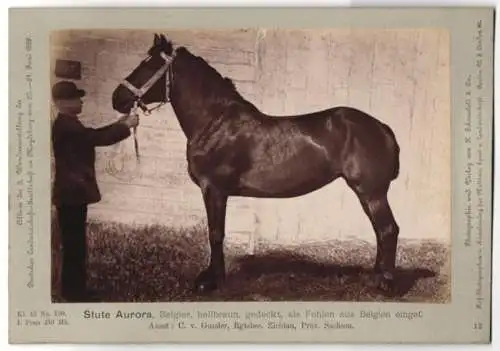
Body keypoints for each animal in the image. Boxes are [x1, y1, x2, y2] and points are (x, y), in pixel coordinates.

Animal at [111, 33, 400, 294]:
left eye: (148, 65)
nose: (117, 98)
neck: (214, 122)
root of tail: (382, 127)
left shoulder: (213, 189)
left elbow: (215, 233)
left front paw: (212, 282)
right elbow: (216, 232)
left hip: (371, 191)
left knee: (388, 229)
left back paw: (386, 283)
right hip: (367, 193)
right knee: (380, 230)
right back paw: (376, 276)